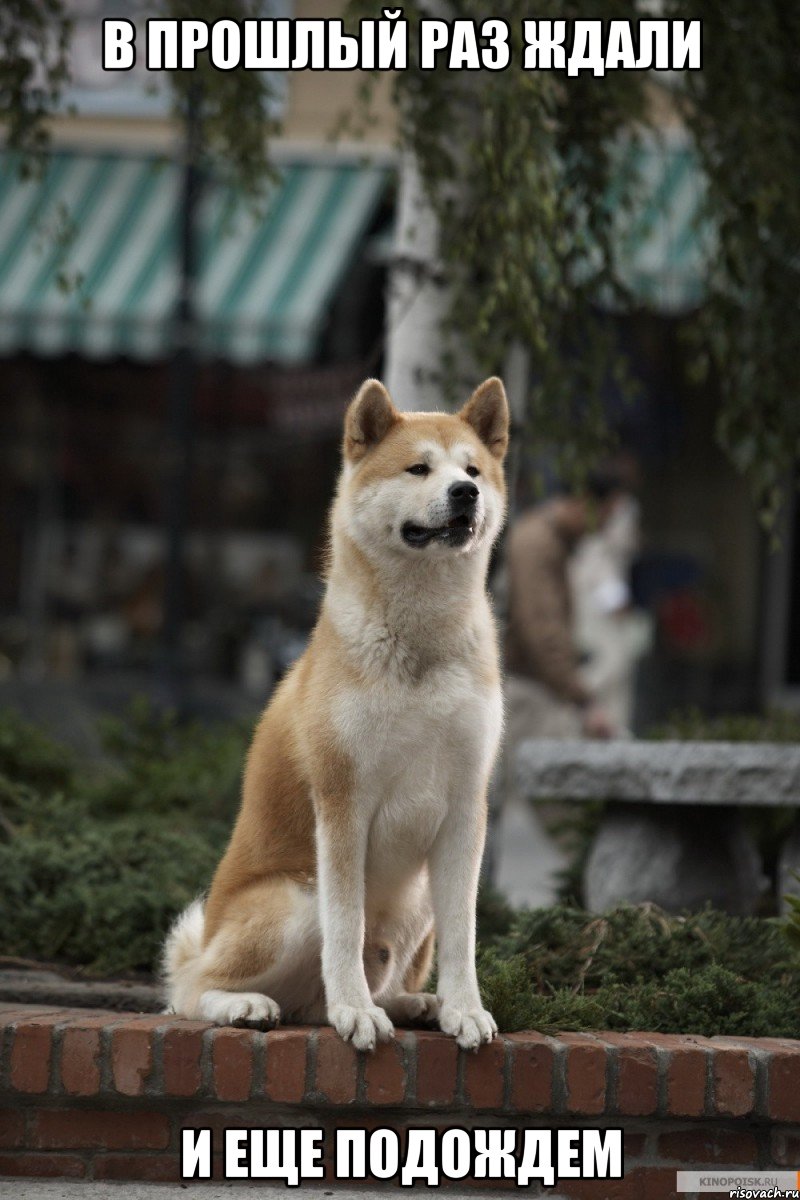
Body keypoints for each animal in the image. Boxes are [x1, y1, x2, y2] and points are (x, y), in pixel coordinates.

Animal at [165, 374, 510, 1051]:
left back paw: (415, 1003)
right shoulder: (343, 801)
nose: (465, 493)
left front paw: (464, 1009)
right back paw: (250, 1005)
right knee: (189, 990)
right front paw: (355, 1011)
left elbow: (464, 935)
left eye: (473, 470)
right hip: (295, 900)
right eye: (418, 468)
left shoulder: (466, 806)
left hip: (417, 900)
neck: (420, 643)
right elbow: (346, 928)